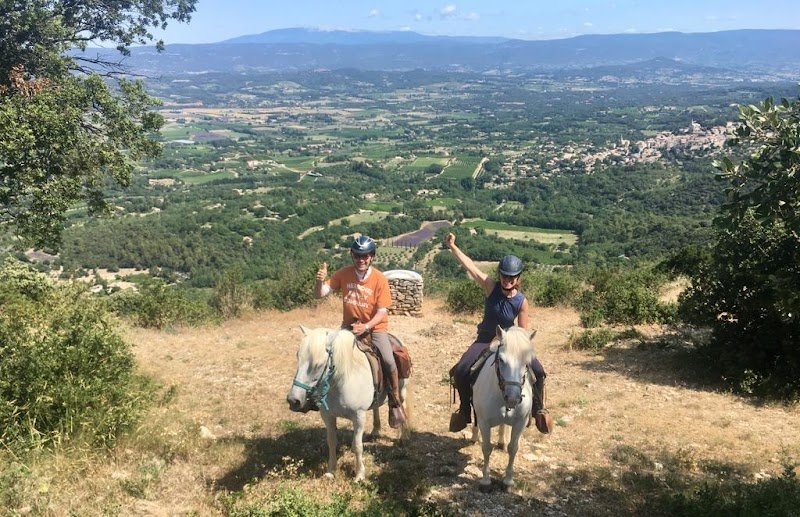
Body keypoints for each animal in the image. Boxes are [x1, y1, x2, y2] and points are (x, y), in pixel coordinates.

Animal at [286, 326, 408, 481]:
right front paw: (331, 471)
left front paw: (359, 475)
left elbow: (358, 446)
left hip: (401, 391)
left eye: (318, 364)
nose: (293, 400)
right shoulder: (327, 416)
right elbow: (331, 441)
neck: (340, 382)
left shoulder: (359, 417)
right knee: (375, 408)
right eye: (297, 357)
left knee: (401, 407)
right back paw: (375, 430)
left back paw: (402, 437)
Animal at [471, 325, 535, 491]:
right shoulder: (484, 422)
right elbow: (486, 448)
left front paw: (508, 480)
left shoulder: (520, 422)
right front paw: (486, 480)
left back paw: (501, 442)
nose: (512, 398)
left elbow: (513, 448)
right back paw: (474, 436)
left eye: (527, 362)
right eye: (501, 359)